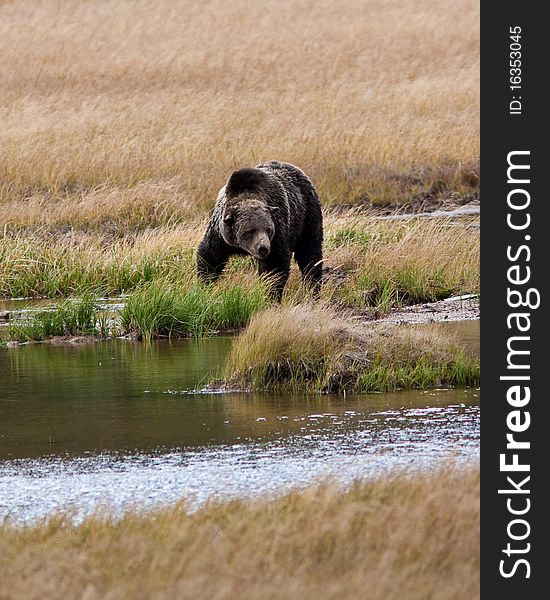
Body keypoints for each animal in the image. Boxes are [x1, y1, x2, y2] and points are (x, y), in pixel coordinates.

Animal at [196, 161, 324, 298]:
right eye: (250, 230)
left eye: (268, 229)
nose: (263, 248)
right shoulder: (220, 235)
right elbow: (209, 258)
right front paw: (203, 286)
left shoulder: (277, 232)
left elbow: (274, 266)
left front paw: (271, 295)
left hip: (307, 217)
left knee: (310, 255)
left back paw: (313, 289)